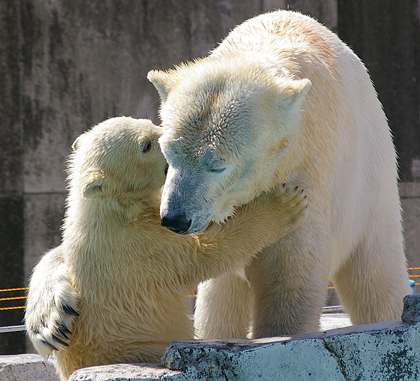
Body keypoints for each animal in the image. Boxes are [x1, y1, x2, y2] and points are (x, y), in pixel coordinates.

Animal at [148, 10, 410, 336]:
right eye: (169, 154)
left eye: (217, 165)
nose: (175, 219)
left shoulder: (307, 171)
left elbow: (288, 278)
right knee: (221, 298)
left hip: (370, 185)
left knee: (375, 275)